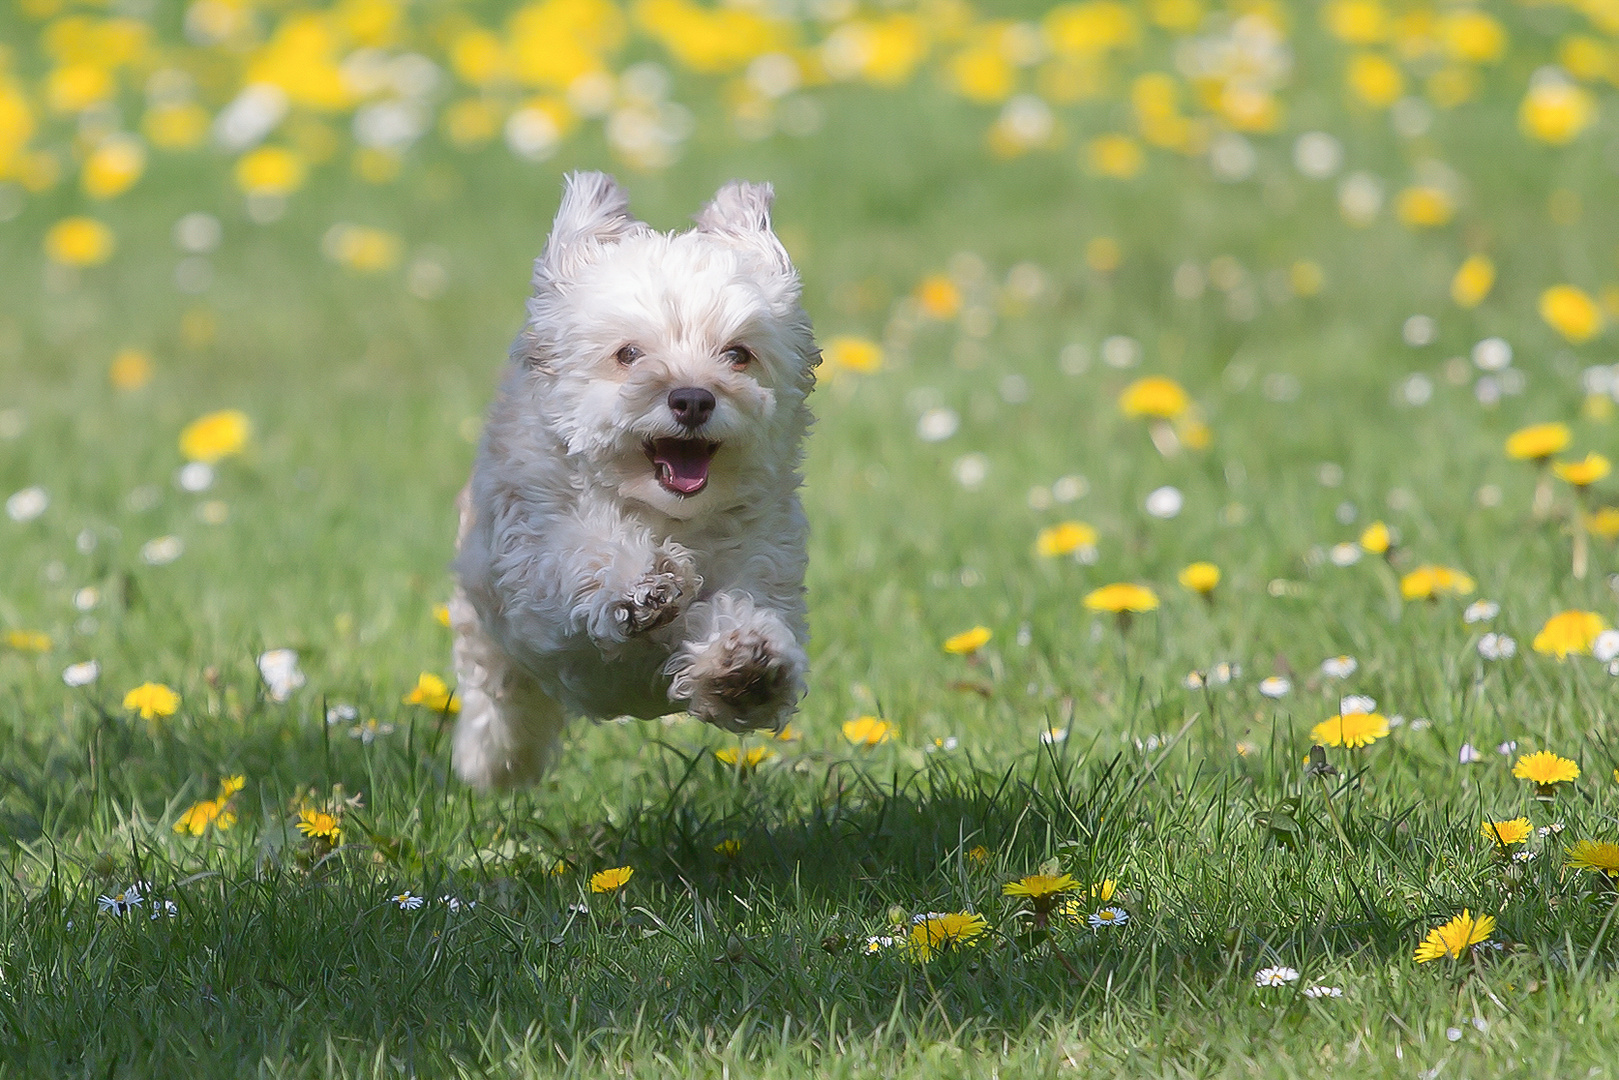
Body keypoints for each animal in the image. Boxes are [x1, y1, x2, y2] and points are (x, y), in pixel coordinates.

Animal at [450, 173, 815, 790]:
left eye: (738, 355)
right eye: (628, 354)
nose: (692, 398)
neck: (664, 515)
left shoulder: (764, 560)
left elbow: (744, 609)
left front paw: (744, 665)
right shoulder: (533, 555)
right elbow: (583, 555)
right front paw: (643, 587)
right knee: (499, 695)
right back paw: (491, 763)